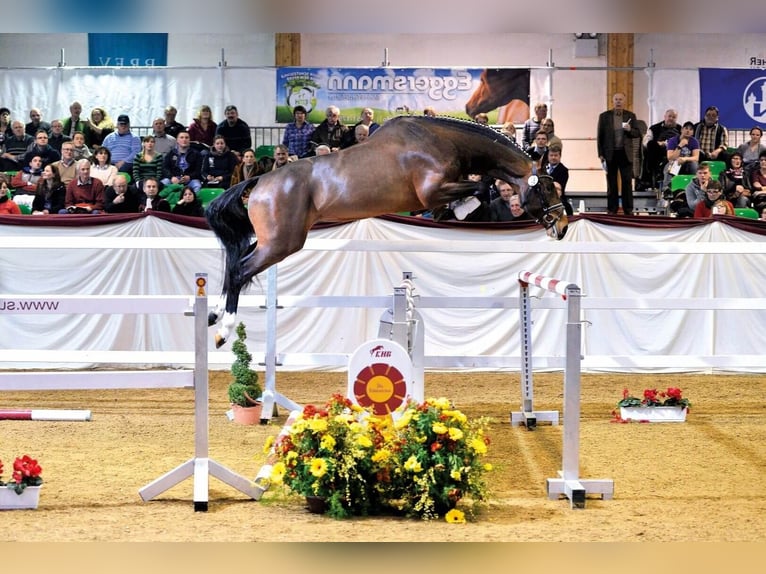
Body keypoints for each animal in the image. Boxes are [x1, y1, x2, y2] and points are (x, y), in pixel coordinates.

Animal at [207, 113, 568, 346]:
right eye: (545, 189)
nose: (562, 226)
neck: (442, 142)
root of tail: (260, 180)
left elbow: (476, 190)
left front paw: (452, 212)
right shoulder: (432, 190)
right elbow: (478, 189)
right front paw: (459, 210)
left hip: (271, 241)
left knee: (235, 262)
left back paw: (214, 314)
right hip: (282, 243)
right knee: (239, 270)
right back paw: (224, 329)